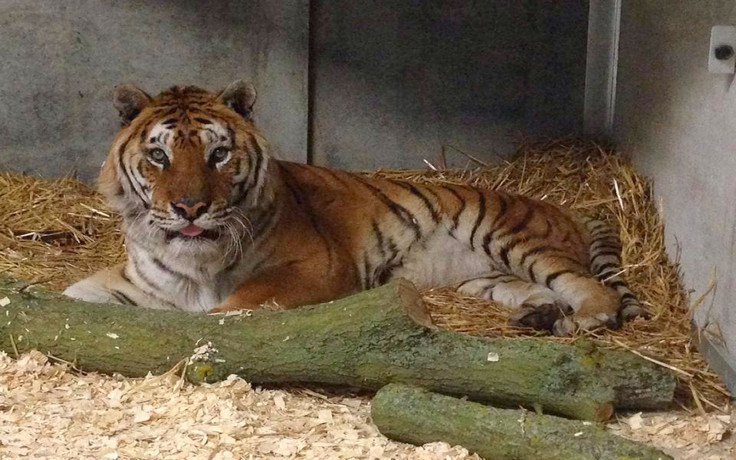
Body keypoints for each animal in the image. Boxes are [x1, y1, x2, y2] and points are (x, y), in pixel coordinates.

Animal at [64, 81, 644, 336]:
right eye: (159, 156)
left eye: (219, 154)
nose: (189, 208)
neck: (198, 258)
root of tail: (572, 211)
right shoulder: (139, 280)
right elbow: (73, 296)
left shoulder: (314, 267)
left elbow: (235, 306)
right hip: (486, 279)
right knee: (541, 291)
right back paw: (538, 316)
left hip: (513, 238)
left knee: (590, 289)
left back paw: (580, 321)